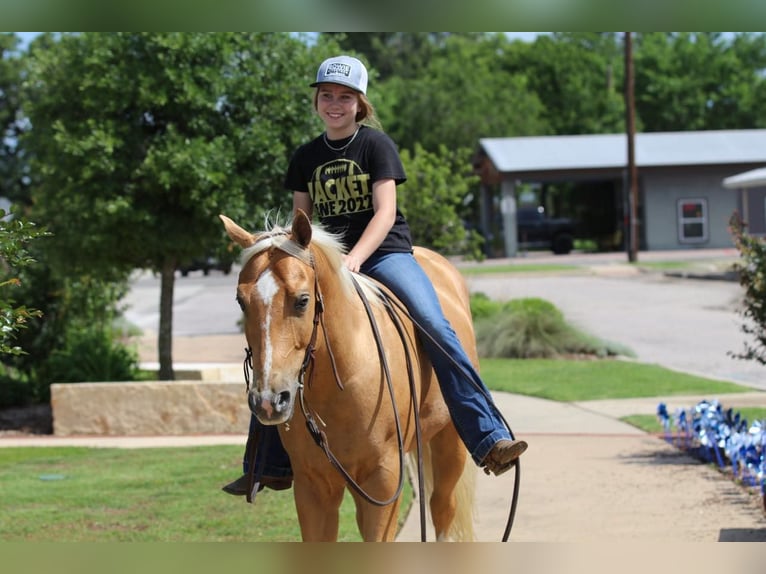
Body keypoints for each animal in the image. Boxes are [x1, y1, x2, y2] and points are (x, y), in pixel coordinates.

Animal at [219, 212, 476, 544]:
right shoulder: (313, 486)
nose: (269, 401)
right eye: (241, 301)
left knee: (443, 508)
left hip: (450, 441)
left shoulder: (383, 480)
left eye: (302, 301)